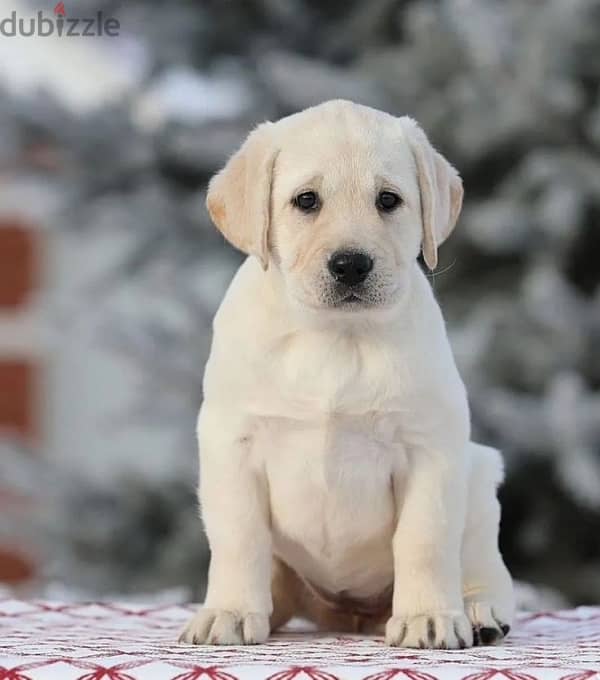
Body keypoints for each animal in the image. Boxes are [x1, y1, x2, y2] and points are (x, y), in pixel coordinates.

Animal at [180, 99, 512, 648]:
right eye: (306, 200)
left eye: (388, 200)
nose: (351, 265)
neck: (336, 336)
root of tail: (348, 614)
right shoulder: (232, 442)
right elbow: (239, 535)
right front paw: (228, 611)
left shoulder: (430, 447)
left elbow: (424, 537)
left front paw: (428, 617)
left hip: (482, 473)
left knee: (484, 569)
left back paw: (478, 612)